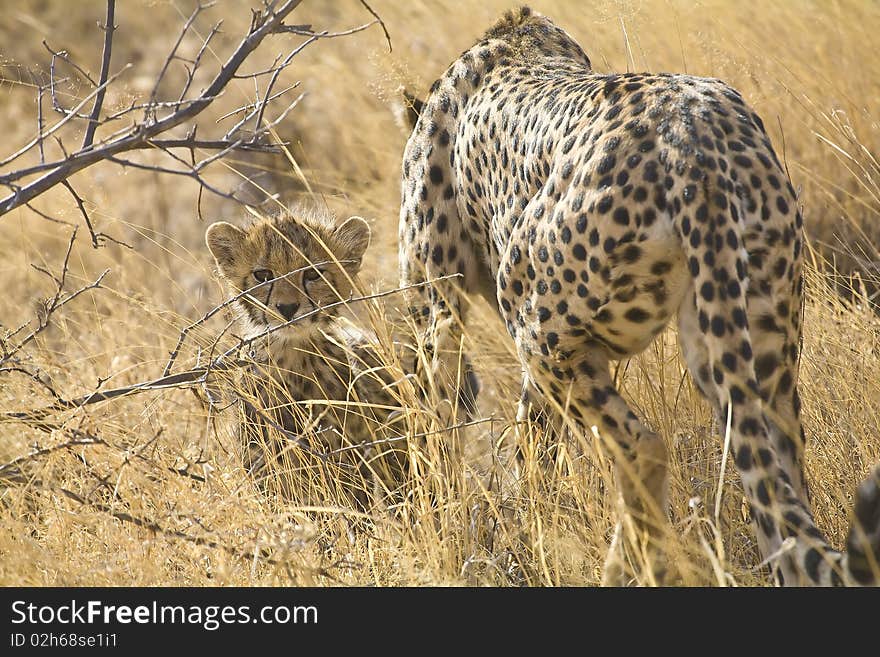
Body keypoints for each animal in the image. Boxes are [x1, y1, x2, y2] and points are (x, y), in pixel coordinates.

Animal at [400, 7, 880, 584]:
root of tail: (696, 143)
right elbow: (533, 443)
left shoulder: (436, 308)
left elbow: (437, 421)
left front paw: (448, 529)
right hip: (748, 344)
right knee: (779, 489)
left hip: (535, 320)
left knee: (645, 446)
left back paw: (628, 567)